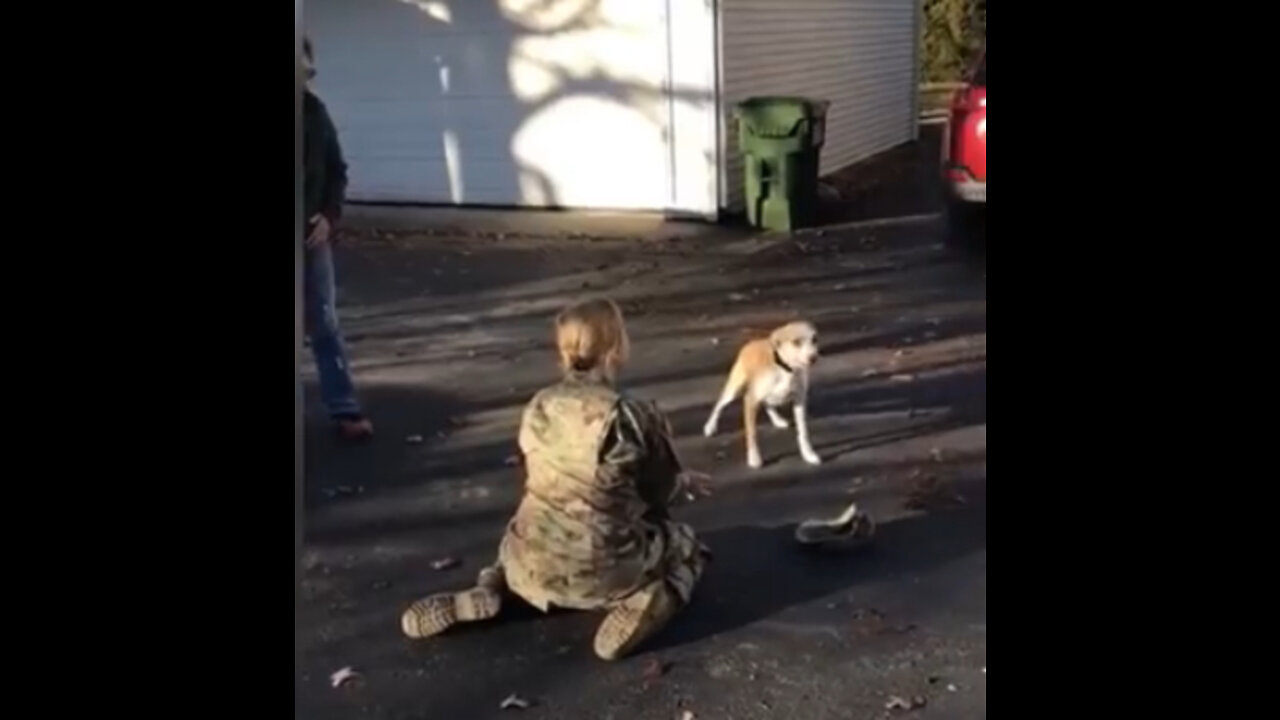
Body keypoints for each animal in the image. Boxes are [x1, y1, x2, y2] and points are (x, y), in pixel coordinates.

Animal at [701, 317, 819, 466]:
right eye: (796, 342)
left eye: (815, 339)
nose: (813, 357)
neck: (785, 369)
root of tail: (752, 343)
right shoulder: (750, 400)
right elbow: (752, 433)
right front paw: (754, 457)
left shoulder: (799, 402)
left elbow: (803, 431)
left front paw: (808, 453)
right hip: (734, 390)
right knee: (719, 405)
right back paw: (710, 426)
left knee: (767, 404)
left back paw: (778, 420)